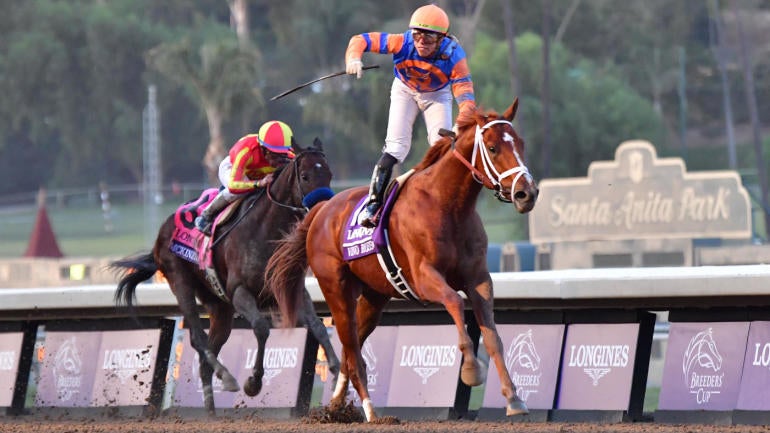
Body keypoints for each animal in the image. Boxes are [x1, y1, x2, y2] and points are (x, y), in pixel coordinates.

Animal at [110, 138, 340, 416]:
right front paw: (253, 382)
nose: (324, 208)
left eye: (329, 174)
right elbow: (261, 328)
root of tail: (161, 233)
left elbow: (318, 326)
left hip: (219, 307)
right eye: (305, 176)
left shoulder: (291, 290)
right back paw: (227, 377)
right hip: (181, 284)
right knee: (199, 340)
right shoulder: (240, 292)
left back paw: (211, 412)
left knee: (206, 354)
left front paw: (339, 376)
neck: (266, 230)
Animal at [265, 99, 538, 422]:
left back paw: (335, 407)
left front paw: (514, 398)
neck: (448, 204)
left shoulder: (478, 279)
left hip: (373, 297)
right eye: (493, 148)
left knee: (349, 351)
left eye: (521, 144)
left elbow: (493, 337)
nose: (527, 193)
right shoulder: (423, 277)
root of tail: (322, 209)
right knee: (353, 352)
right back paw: (371, 412)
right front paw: (471, 369)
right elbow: (455, 302)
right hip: (336, 290)